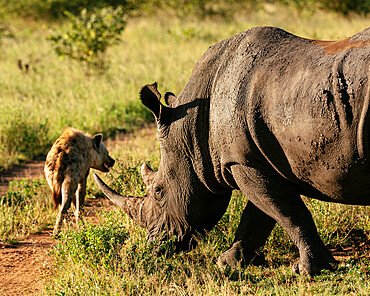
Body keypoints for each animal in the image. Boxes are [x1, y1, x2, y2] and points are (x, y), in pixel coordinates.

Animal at [94, 26, 370, 276]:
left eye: (159, 191)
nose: (153, 246)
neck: (192, 131)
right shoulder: (256, 160)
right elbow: (263, 213)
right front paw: (228, 263)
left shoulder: (242, 161)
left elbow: (287, 213)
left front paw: (308, 269)